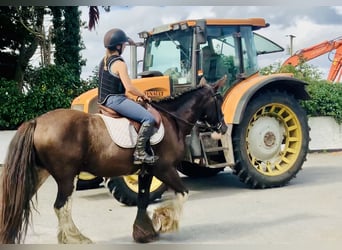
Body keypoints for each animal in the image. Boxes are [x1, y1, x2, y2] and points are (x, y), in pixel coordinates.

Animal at [0, 78, 228, 244]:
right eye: (219, 99)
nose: (224, 128)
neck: (172, 120)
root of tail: (37, 121)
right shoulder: (164, 169)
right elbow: (183, 194)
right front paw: (165, 220)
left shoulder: (146, 171)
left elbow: (143, 200)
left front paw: (144, 232)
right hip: (66, 177)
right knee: (61, 206)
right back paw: (75, 238)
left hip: (39, 173)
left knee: (22, 202)